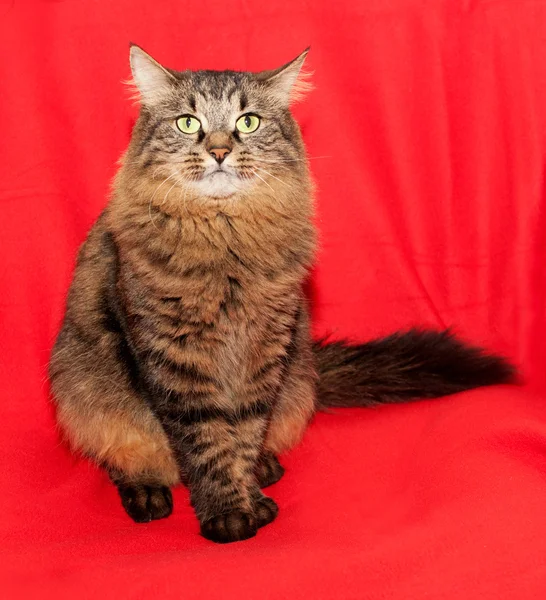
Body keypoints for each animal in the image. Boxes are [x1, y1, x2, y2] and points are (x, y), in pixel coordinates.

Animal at [46, 45, 510, 544]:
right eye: (188, 123)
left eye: (247, 122)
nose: (220, 151)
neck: (225, 237)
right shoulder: (175, 360)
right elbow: (206, 443)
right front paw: (228, 514)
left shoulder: (265, 350)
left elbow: (244, 434)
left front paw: (250, 495)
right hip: (87, 393)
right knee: (123, 453)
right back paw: (147, 491)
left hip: (295, 377)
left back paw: (267, 468)